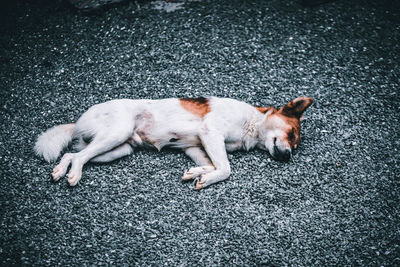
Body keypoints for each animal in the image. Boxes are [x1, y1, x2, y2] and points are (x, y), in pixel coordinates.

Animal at [34, 97, 312, 189]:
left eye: (295, 145)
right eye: (291, 133)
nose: (288, 156)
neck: (252, 123)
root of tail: (77, 122)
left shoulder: (195, 146)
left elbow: (212, 164)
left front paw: (196, 173)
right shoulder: (210, 132)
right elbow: (225, 168)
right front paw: (206, 179)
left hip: (119, 149)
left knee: (72, 155)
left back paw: (61, 170)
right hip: (117, 133)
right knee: (79, 157)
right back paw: (73, 176)